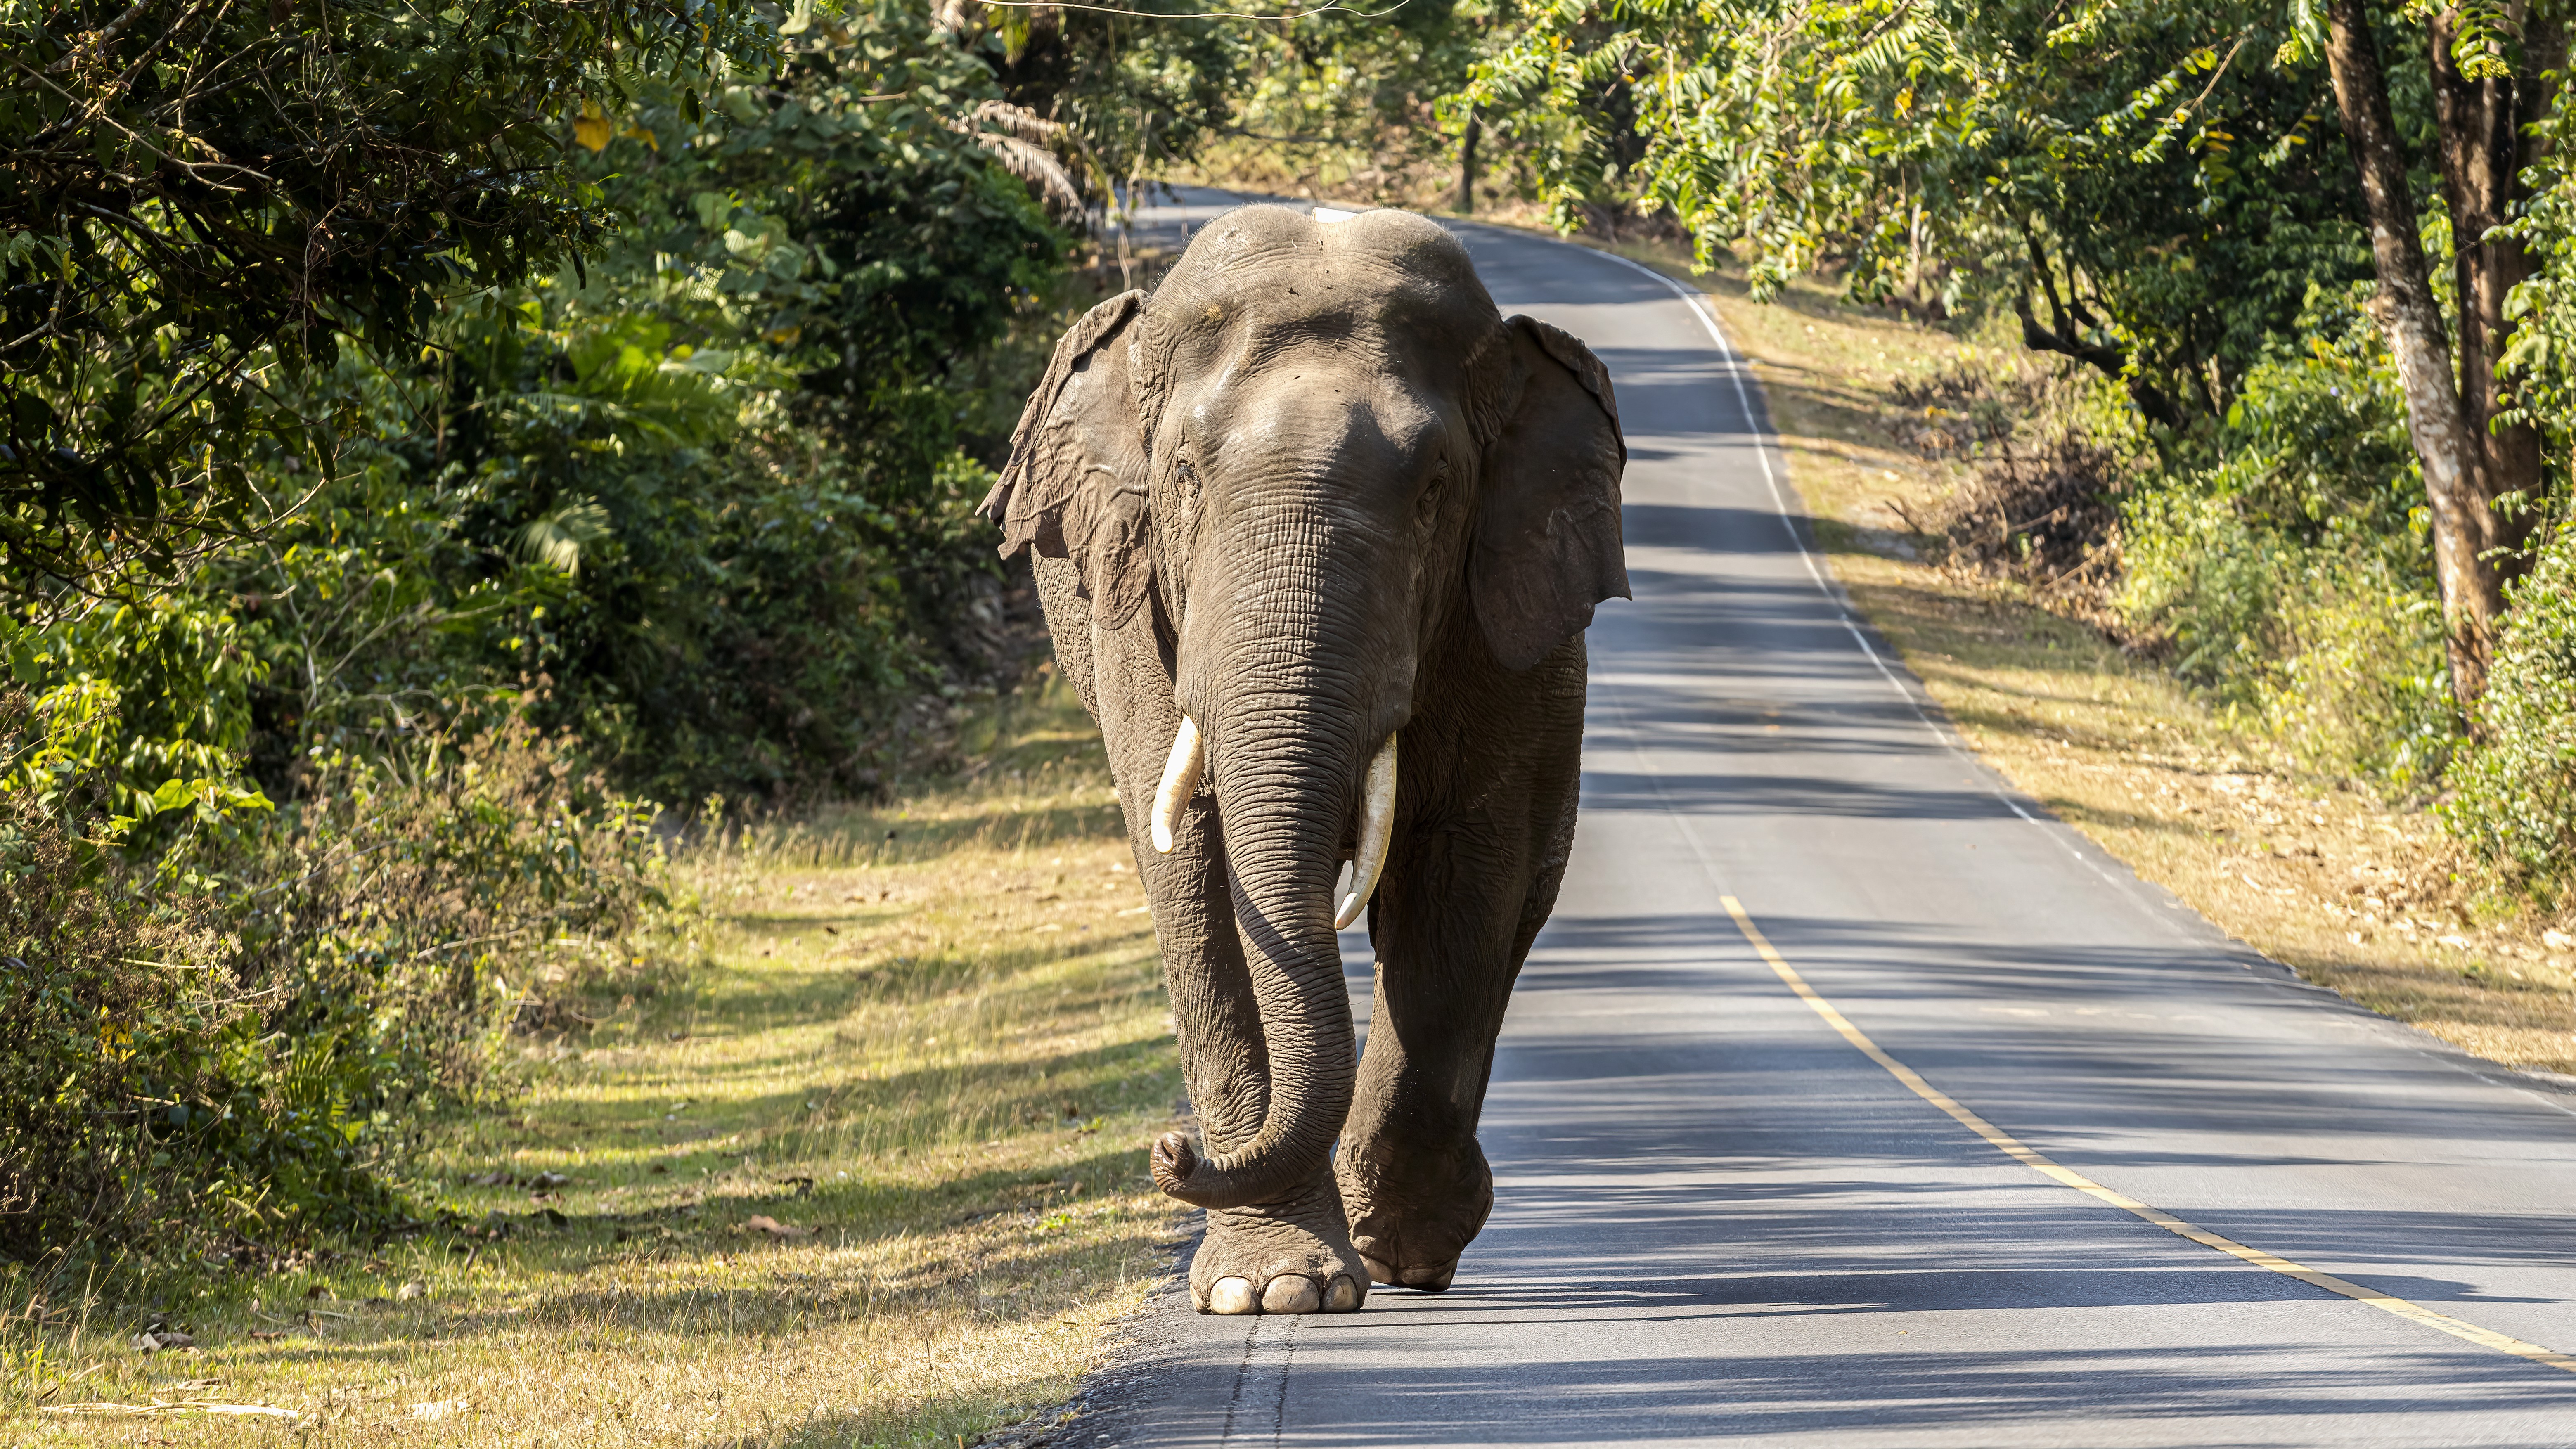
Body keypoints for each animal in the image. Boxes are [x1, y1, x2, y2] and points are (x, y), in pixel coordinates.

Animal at [980, 205, 1627, 1315]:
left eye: (1435, 492)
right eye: (1183, 479)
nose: (1169, 1151)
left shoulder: (1503, 623)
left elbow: (1463, 873)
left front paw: (1393, 1251)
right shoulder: (1137, 609)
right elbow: (1194, 870)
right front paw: (1272, 1288)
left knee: (1520, 896)